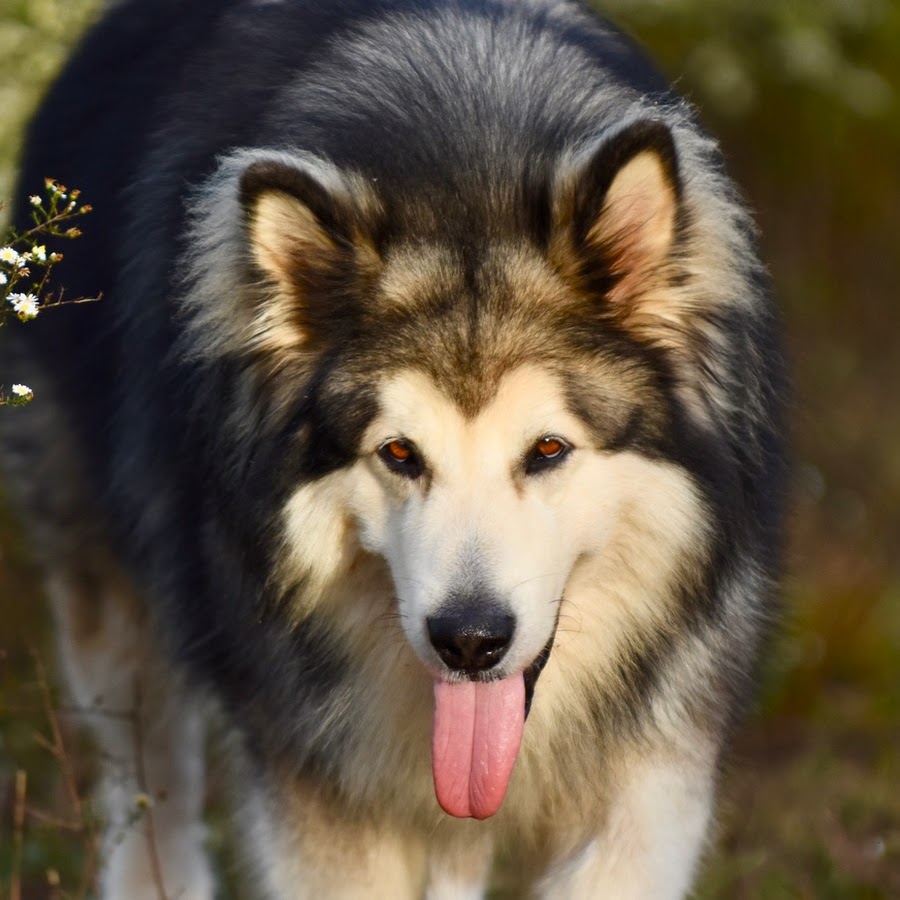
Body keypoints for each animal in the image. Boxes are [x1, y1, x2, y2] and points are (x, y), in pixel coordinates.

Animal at [1, 1, 788, 900]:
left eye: (548, 448)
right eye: (401, 453)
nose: (469, 641)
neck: (469, 167)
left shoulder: (651, 787)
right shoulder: (324, 803)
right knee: (150, 779)